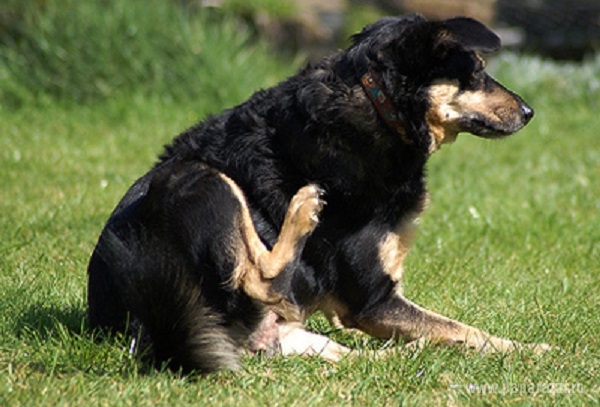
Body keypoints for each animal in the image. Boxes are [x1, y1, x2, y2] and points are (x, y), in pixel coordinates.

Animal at [86, 15, 552, 372]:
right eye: (476, 71)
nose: (530, 112)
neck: (378, 104)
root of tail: (142, 330)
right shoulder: (370, 300)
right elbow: (467, 329)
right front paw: (527, 351)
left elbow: (460, 330)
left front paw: (523, 349)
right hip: (199, 178)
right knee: (259, 279)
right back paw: (303, 211)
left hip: (298, 337)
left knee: (358, 358)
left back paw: (412, 350)